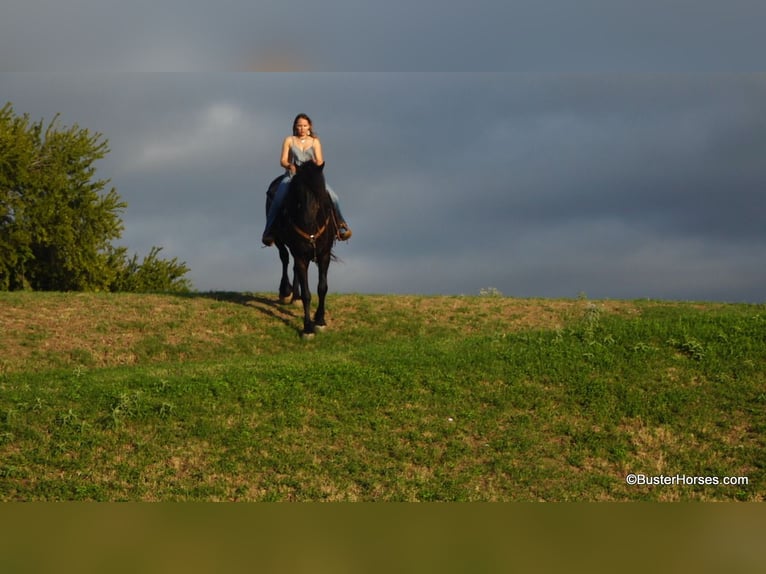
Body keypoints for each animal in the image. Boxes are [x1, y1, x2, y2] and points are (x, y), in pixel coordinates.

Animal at [266, 162, 338, 338]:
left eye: (318, 189)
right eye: (298, 190)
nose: (308, 218)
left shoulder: (324, 255)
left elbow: (322, 287)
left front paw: (320, 320)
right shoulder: (300, 255)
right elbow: (307, 294)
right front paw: (307, 328)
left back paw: (295, 297)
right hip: (279, 240)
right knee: (284, 258)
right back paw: (286, 292)